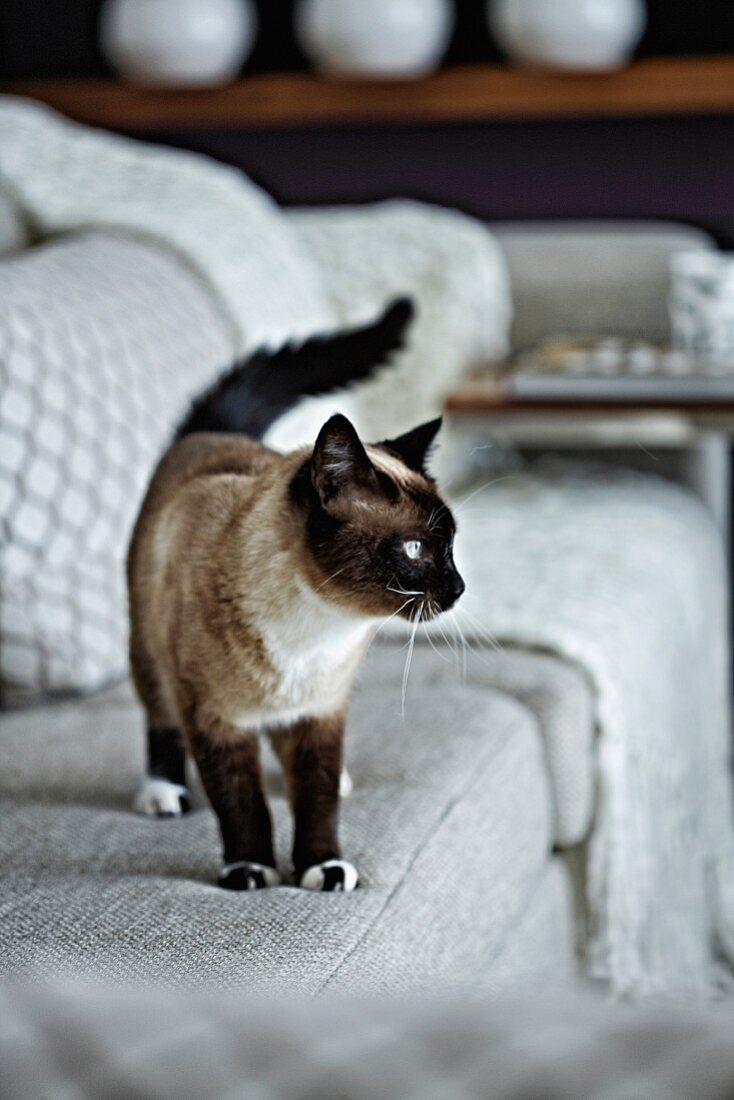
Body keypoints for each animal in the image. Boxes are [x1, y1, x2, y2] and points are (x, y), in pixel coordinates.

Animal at [128, 299, 462, 893]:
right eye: (417, 549)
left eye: (451, 547)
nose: (459, 589)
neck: (318, 628)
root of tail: (210, 433)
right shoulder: (215, 722)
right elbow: (241, 803)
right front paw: (249, 870)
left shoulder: (321, 713)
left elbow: (317, 797)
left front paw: (321, 868)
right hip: (149, 652)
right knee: (159, 720)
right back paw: (162, 794)